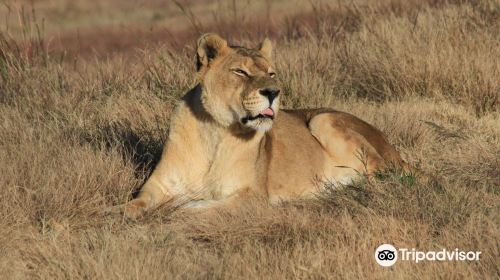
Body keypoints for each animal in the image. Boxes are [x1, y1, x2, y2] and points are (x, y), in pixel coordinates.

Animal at [119, 33, 408, 219]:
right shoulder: (158, 185)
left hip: (323, 119)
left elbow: (200, 208)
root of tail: (395, 150)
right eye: (240, 72)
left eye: (271, 73)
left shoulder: (252, 196)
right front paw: (122, 213)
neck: (216, 131)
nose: (273, 92)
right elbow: (136, 201)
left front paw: (172, 211)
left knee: (382, 175)